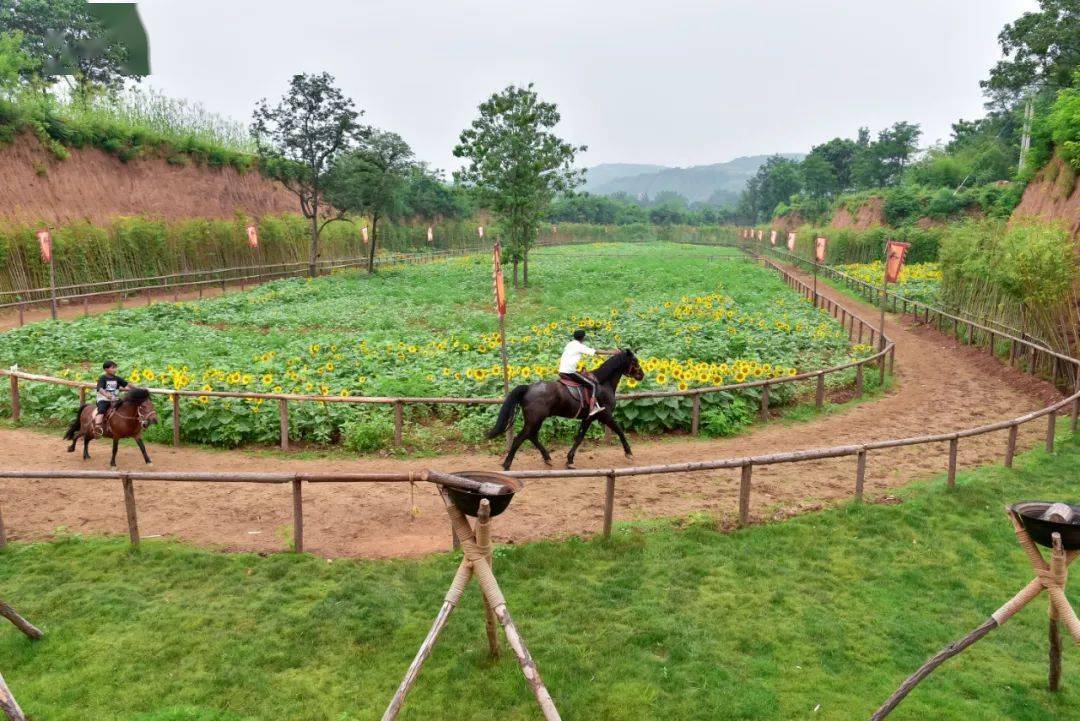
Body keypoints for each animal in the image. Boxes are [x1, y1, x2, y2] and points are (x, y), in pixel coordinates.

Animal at [488, 349, 639, 472]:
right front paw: (629, 453)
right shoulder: (605, 415)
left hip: (535, 420)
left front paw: (570, 460)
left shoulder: (589, 418)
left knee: (531, 436)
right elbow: (619, 431)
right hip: (535, 420)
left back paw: (547, 458)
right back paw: (507, 464)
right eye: (635, 361)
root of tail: (528, 388)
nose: (641, 375)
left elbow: (579, 437)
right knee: (520, 438)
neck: (603, 383)